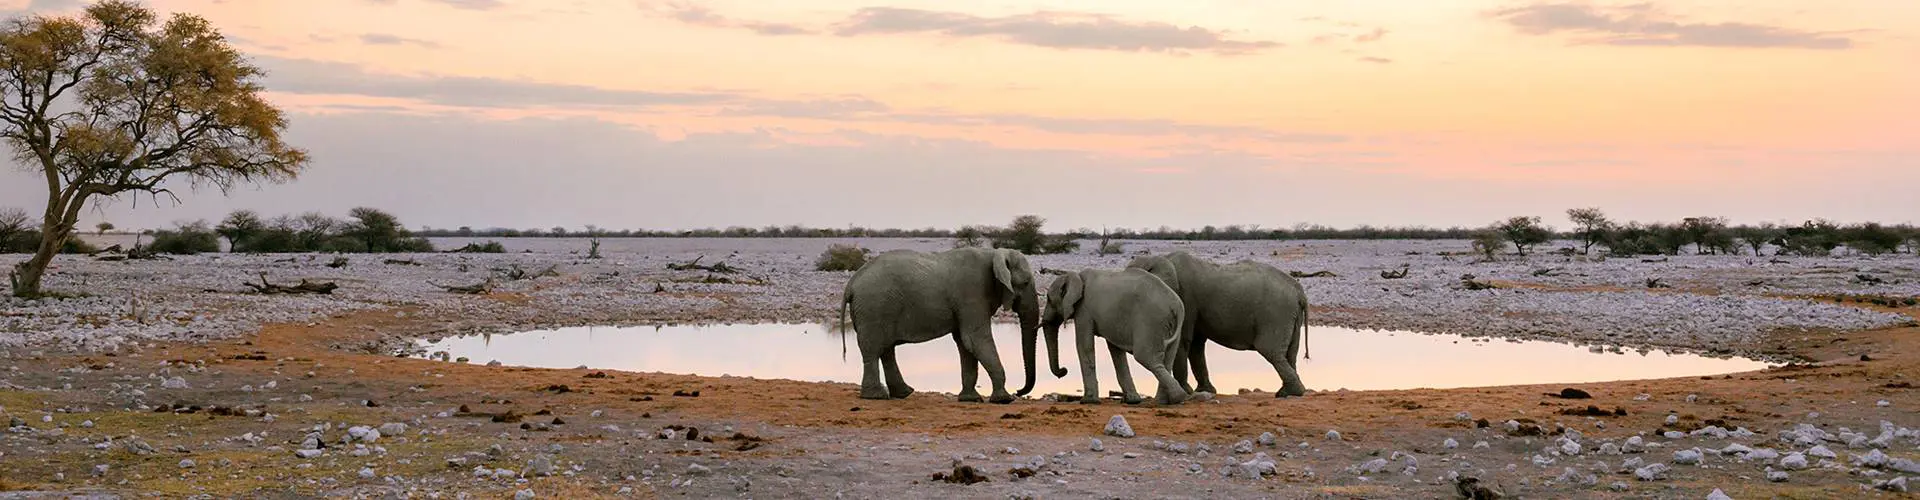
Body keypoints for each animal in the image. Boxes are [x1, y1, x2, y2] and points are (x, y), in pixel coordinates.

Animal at [838, 247, 1042, 403]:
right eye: (1025, 283)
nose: (1019, 391)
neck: (994, 254)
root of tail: (851, 283)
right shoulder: (972, 293)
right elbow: (975, 340)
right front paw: (1004, 400)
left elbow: (965, 343)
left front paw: (970, 400)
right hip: (873, 307)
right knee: (873, 350)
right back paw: (876, 397)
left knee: (886, 350)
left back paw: (903, 393)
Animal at [1041, 268, 1189, 405]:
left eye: (1049, 299)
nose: (1064, 370)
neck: (1076, 276)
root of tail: (1177, 307)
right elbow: (1115, 350)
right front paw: (1132, 400)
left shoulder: (1084, 310)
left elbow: (1084, 346)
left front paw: (1088, 401)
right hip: (1168, 326)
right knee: (1167, 359)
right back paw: (1164, 401)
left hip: (1151, 321)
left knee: (1146, 357)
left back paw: (1177, 397)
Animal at [1127, 250, 1311, 397]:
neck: (1160, 258)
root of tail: (1300, 292)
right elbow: (1196, 345)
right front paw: (1204, 391)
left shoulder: (1185, 298)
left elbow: (1184, 341)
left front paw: (1188, 391)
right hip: (1290, 317)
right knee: (1290, 354)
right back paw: (1287, 392)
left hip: (1276, 314)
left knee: (1271, 351)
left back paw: (1290, 393)